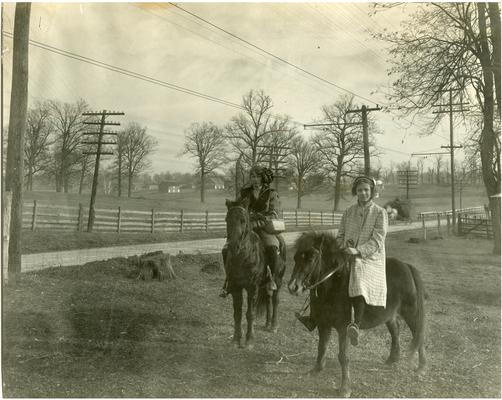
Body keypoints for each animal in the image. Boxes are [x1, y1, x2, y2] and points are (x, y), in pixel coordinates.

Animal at [224, 198, 286, 346]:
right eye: (227, 219)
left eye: (243, 220)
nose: (233, 246)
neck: (243, 258)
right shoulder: (235, 287)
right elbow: (237, 313)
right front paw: (236, 339)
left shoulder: (252, 288)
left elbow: (249, 314)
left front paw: (249, 340)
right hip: (266, 284)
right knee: (268, 298)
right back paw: (267, 323)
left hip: (278, 281)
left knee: (275, 300)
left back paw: (273, 326)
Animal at [288, 231, 426, 396]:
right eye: (296, 257)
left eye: (312, 257)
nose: (293, 287)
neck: (333, 286)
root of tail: (407, 266)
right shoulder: (324, 324)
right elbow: (322, 347)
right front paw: (316, 370)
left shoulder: (343, 328)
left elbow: (343, 356)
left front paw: (345, 388)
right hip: (389, 316)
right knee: (395, 332)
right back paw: (392, 359)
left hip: (410, 312)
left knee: (418, 334)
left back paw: (421, 367)